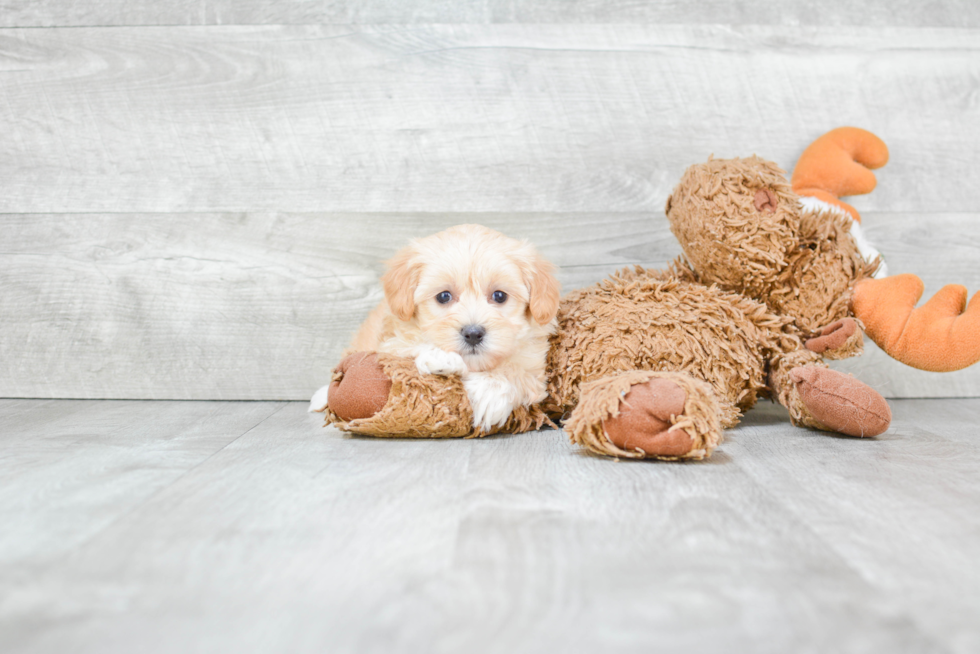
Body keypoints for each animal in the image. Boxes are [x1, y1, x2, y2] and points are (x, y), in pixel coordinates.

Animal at [314, 226, 560, 430]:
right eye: (444, 296)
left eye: (499, 296)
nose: (473, 334)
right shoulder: (391, 341)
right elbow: (409, 345)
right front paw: (442, 357)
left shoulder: (536, 368)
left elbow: (517, 372)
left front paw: (488, 392)